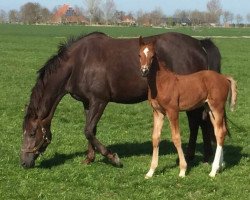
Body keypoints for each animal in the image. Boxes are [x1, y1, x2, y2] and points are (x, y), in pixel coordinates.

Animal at [21, 31, 221, 169]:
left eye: (32, 133)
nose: (23, 162)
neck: (79, 63)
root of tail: (198, 44)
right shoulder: (87, 102)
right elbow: (91, 129)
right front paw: (89, 158)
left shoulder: (99, 101)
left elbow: (88, 130)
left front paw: (112, 157)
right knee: (199, 123)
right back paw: (196, 156)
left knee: (199, 122)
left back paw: (198, 158)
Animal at [138, 36, 237, 177]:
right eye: (139, 55)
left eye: (152, 56)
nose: (144, 71)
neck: (162, 82)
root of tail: (224, 78)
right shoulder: (158, 112)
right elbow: (155, 138)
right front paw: (151, 172)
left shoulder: (172, 111)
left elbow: (176, 138)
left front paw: (183, 170)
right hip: (210, 109)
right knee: (219, 132)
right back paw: (219, 166)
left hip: (217, 108)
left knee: (220, 133)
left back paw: (213, 171)